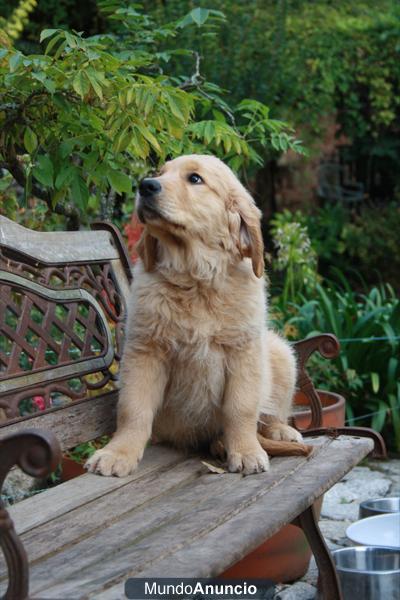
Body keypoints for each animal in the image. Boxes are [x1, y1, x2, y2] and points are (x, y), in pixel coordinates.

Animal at [86, 155, 302, 478]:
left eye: (195, 179)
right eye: (160, 173)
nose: (146, 185)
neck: (195, 277)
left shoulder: (244, 351)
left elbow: (241, 408)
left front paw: (246, 451)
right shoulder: (145, 350)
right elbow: (133, 409)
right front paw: (118, 452)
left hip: (280, 353)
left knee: (272, 413)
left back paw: (279, 431)